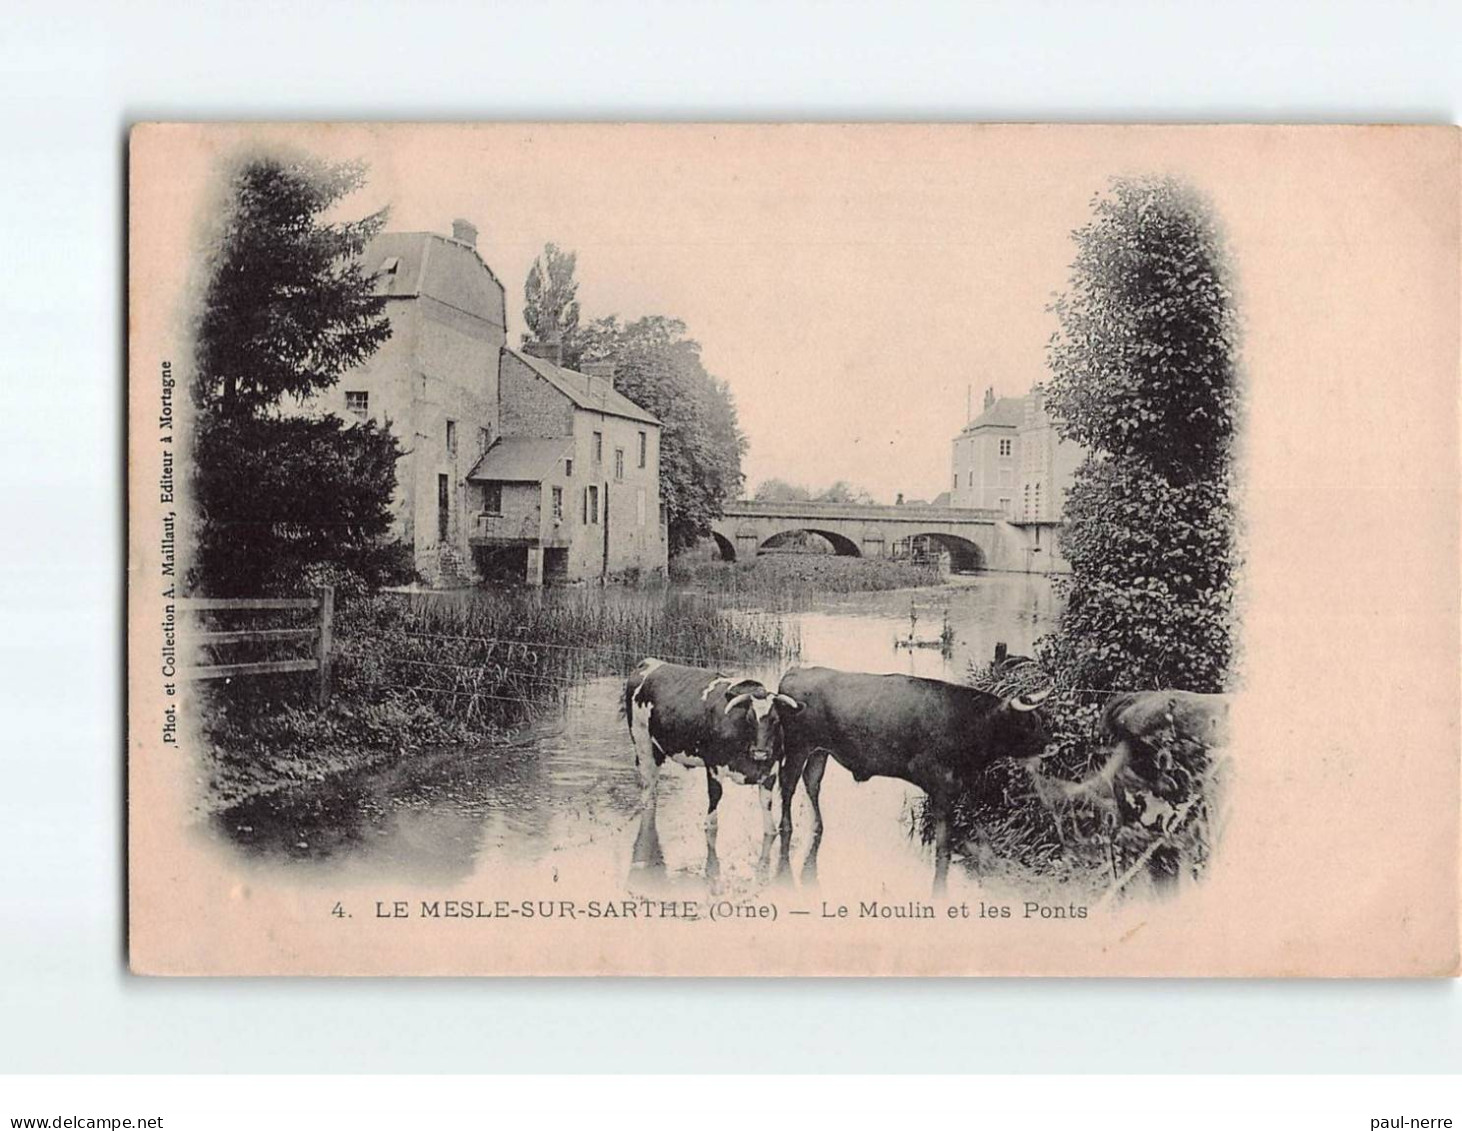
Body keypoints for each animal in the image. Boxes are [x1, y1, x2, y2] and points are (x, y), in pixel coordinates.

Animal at [616, 654, 801, 841]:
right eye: (749, 718)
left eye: (776, 720)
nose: (761, 752)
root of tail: (650, 662)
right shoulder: (713, 764)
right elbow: (714, 800)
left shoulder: (770, 770)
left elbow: (767, 809)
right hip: (643, 743)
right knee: (647, 785)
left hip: (658, 750)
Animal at [777, 663, 1052, 894]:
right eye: (1027, 722)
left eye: (1040, 720)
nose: (1049, 745)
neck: (969, 721)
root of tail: (797, 671)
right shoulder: (942, 785)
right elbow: (943, 834)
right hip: (797, 747)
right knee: (788, 784)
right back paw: (786, 827)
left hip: (819, 751)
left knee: (812, 783)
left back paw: (818, 825)